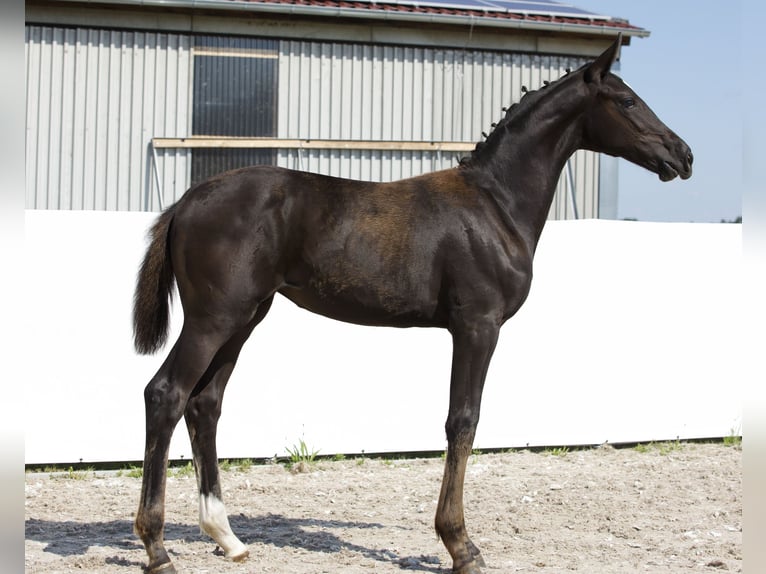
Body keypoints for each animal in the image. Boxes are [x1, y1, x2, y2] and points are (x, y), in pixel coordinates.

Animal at [130, 37, 688, 574]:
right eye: (627, 100)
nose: (683, 155)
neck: (495, 205)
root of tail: (186, 201)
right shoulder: (477, 326)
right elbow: (462, 420)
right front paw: (461, 546)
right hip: (213, 319)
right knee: (166, 394)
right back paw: (157, 548)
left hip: (245, 319)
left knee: (205, 404)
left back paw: (227, 538)